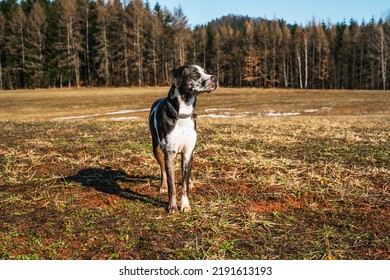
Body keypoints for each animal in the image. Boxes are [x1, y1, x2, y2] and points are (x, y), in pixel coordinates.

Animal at [149, 64, 218, 213]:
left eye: (205, 71)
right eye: (194, 74)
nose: (215, 78)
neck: (182, 115)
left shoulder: (188, 153)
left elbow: (184, 185)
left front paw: (185, 205)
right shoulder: (170, 153)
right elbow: (172, 186)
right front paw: (172, 207)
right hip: (156, 149)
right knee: (163, 169)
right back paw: (162, 185)